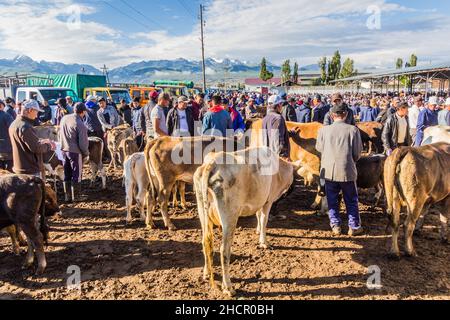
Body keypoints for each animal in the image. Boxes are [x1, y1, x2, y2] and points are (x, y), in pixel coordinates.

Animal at [194, 146, 296, 296]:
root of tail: (212, 163)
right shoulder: (268, 200)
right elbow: (264, 219)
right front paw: (264, 242)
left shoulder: (260, 200)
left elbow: (258, 216)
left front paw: (258, 231)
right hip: (230, 215)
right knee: (224, 250)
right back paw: (228, 287)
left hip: (202, 210)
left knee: (205, 242)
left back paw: (207, 273)